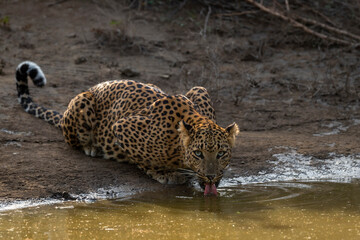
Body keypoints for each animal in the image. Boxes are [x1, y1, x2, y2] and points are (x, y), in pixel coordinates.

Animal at [15, 61, 239, 196]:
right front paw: (163, 172)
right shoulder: (121, 127)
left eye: (221, 153)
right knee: (73, 141)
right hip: (83, 100)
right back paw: (92, 148)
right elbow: (143, 157)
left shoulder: (199, 90)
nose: (211, 176)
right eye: (198, 153)